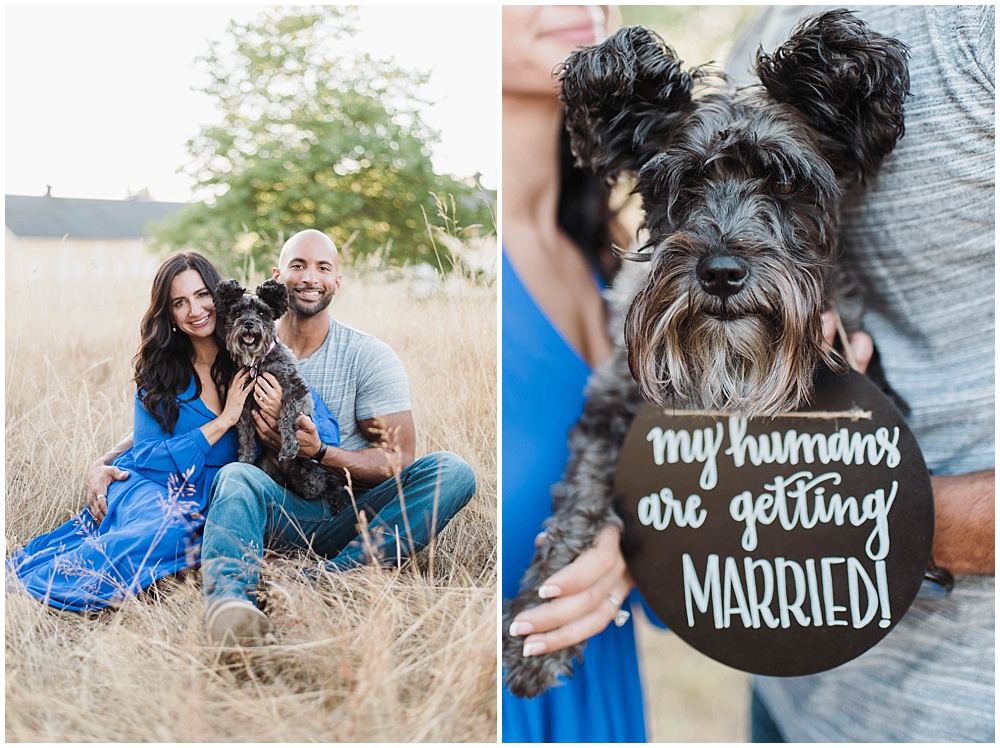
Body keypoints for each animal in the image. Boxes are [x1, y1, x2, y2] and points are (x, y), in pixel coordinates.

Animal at [215, 278, 348, 512]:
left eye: (261, 313)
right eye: (238, 312)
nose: (248, 323)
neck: (259, 364)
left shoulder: (295, 390)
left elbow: (286, 417)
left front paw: (289, 446)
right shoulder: (244, 405)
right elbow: (245, 435)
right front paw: (245, 460)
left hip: (309, 479)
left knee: (326, 484)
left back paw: (338, 500)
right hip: (270, 469)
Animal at [504, 8, 912, 700]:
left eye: (786, 182)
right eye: (684, 182)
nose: (721, 272)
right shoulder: (611, 408)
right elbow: (580, 496)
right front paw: (541, 621)